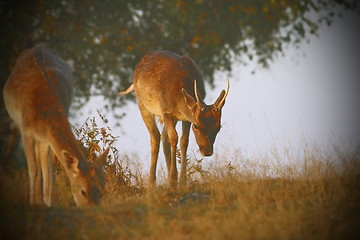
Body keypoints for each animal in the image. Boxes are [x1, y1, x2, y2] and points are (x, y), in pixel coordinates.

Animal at [3, 47, 109, 206]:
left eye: (102, 191)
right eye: (83, 191)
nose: (91, 208)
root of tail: (35, 48)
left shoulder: (47, 137)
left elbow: (49, 168)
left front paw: (49, 202)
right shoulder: (25, 130)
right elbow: (32, 168)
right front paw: (33, 203)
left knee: (43, 163)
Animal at [119, 50, 229, 188]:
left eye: (218, 126)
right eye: (196, 126)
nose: (207, 151)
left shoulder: (185, 118)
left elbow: (183, 141)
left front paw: (182, 181)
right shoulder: (166, 111)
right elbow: (174, 138)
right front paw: (172, 179)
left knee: (164, 137)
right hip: (143, 105)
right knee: (155, 137)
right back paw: (151, 183)